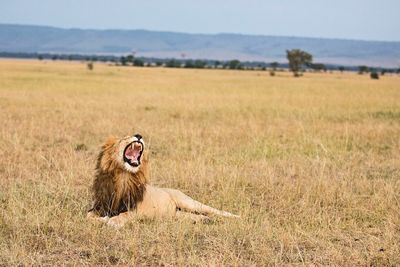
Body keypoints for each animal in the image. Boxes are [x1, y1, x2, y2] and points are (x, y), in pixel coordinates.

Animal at [87, 134, 239, 228]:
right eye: (123, 139)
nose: (139, 135)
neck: (123, 176)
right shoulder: (100, 205)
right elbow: (88, 216)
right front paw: (102, 219)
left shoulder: (137, 208)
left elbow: (125, 214)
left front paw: (113, 221)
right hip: (176, 214)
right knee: (188, 216)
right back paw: (205, 220)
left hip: (189, 203)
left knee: (216, 211)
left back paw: (236, 217)